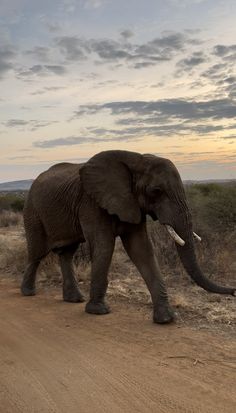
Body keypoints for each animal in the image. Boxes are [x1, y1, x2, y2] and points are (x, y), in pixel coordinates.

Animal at [21, 150, 235, 324]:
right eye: (156, 191)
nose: (233, 291)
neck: (136, 160)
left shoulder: (132, 204)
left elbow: (141, 248)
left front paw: (167, 319)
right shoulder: (91, 202)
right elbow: (104, 245)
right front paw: (98, 312)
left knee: (67, 254)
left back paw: (74, 300)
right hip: (32, 211)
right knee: (37, 253)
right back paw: (28, 293)